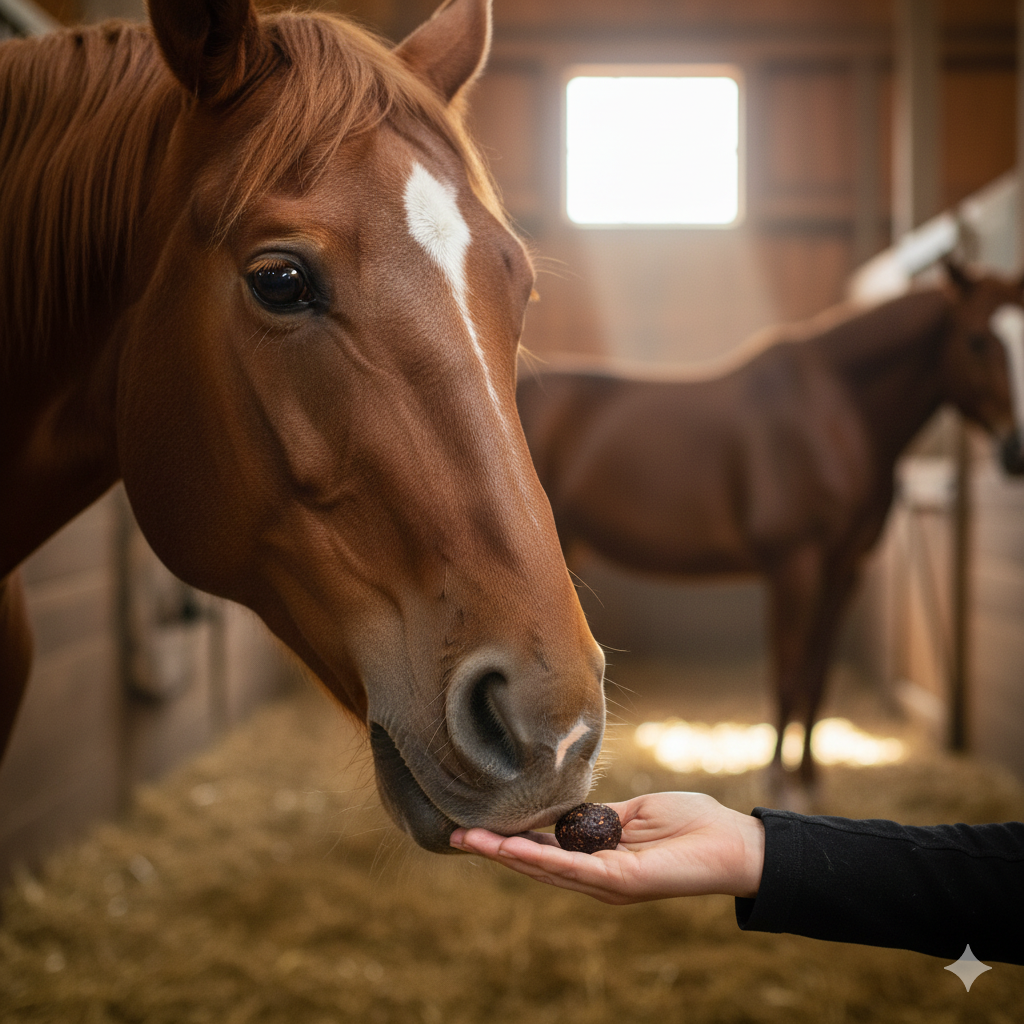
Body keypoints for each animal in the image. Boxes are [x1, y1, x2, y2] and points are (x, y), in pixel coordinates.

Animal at [517, 263, 1024, 797]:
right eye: (976, 340)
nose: (1017, 451)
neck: (834, 410)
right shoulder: (793, 565)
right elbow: (787, 672)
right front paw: (778, 778)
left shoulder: (846, 569)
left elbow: (816, 677)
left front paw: (809, 778)